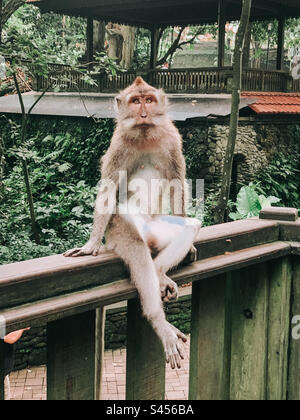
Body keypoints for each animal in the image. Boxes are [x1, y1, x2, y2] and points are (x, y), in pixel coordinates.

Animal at [65, 77, 202, 370]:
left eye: (149, 100)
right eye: (135, 101)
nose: (143, 114)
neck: (145, 135)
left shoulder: (172, 139)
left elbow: (177, 182)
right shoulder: (118, 145)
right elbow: (108, 187)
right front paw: (90, 243)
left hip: (156, 229)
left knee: (188, 227)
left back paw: (160, 271)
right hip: (120, 227)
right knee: (138, 251)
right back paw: (159, 320)